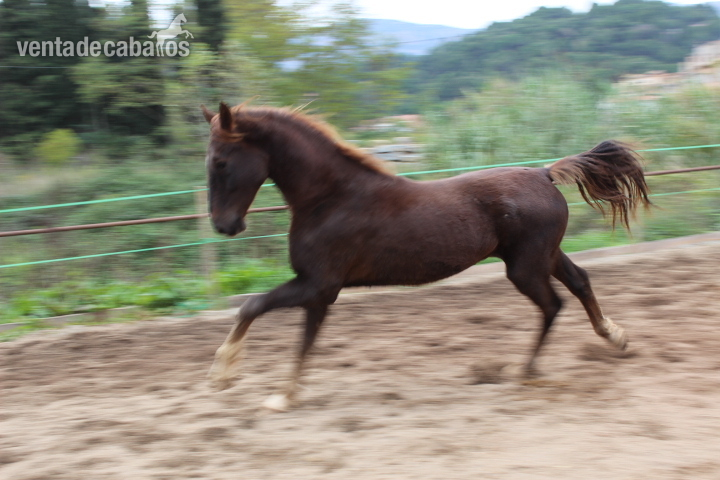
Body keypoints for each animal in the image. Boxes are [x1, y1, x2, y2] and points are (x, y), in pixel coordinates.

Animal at [201, 102, 651, 411]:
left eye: (220, 161)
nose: (224, 225)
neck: (332, 199)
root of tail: (544, 173)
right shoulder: (318, 290)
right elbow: (273, 320)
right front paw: (247, 383)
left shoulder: (319, 287)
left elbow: (262, 313)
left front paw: (249, 384)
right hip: (545, 255)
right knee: (580, 282)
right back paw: (615, 336)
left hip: (525, 268)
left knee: (553, 304)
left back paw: (527, 370)